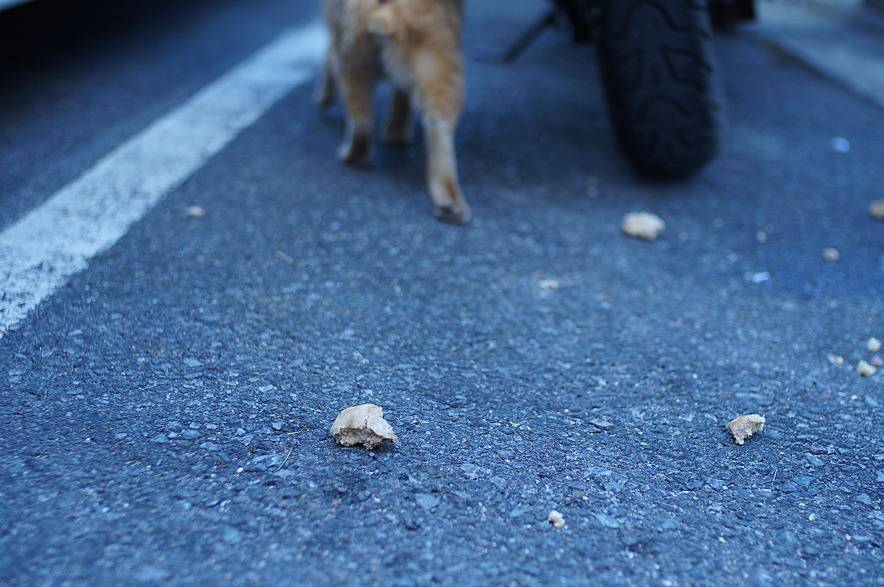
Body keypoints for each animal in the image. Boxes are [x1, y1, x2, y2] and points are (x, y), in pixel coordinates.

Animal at [318, 0, 470, 225]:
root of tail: (387, 8)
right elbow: (401, 97)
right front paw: (395, 130)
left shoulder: (335, 29)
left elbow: (327, 58)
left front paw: (324, 96)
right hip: (438, 63)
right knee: (439, 127)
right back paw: (449, 203)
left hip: (352, 58)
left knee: (360, 122)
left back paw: (352, 154)